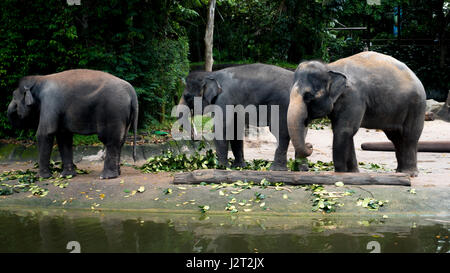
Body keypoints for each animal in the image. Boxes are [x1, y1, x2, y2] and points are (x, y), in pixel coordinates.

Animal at [6, 68, 137, 178]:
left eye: (14, 96)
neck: (39, 79)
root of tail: (131, 91)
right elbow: (64, 137)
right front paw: (67, 175)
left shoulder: (50, 102)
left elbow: (45, 133)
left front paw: (42, 177)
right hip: (124, 115)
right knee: (120, 141)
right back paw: (117, 173)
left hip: (113, 110)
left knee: (110, 140)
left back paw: (106, 176)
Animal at [286, 51, 428, 176]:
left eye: (308, 96)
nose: (310, 145)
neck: (330, 67)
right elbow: (343, 131)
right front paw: (352, 172)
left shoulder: (353, 97)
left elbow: (344, 130)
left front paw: (341, 172)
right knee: (396, 137)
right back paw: (399, 171)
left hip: (416, 106)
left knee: (409, 136)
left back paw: (410, 173)